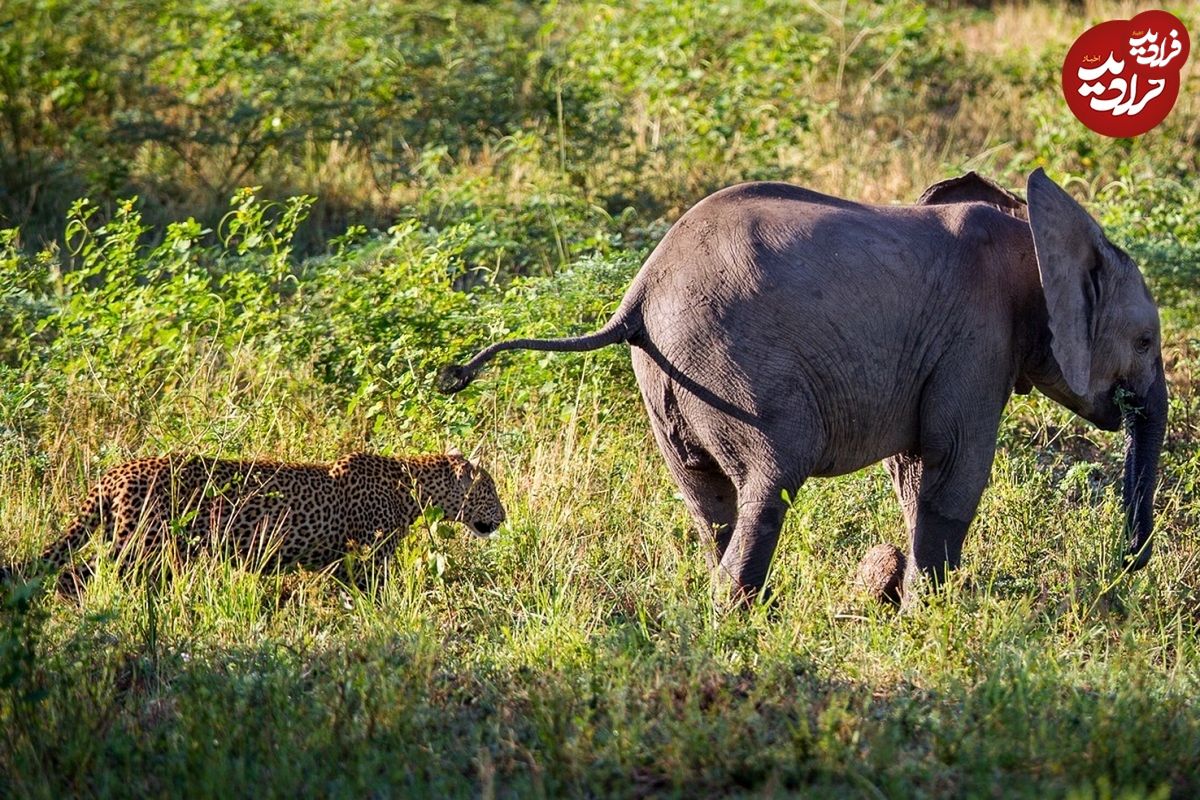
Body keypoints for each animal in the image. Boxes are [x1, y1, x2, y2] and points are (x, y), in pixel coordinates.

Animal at [5, 453, 501, 592]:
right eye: (491, 491)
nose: (504, 515)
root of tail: (115, 471)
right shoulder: (367, 557)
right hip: (139, 545)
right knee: (83, 573)